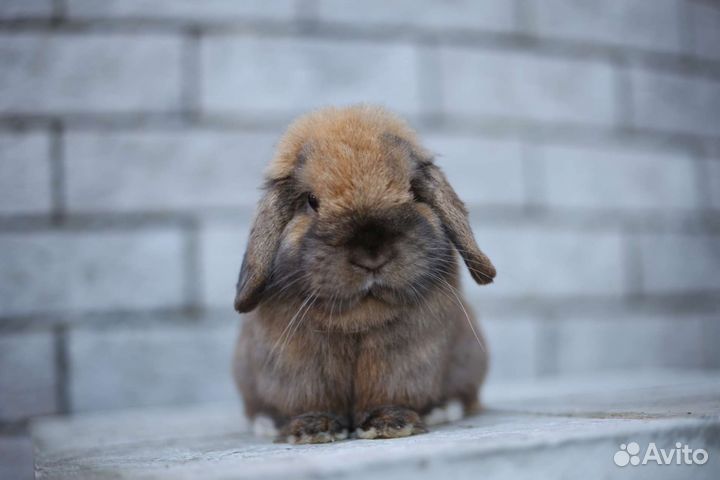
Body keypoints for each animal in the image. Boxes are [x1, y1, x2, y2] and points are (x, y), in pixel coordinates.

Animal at [233, 104, 496, 444]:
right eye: (311, 201)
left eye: (413, 190)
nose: (372, 254)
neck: (360, 315)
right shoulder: (297, 369)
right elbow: (308, 402)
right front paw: (311, 430)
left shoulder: (404, 361)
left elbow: (391, 394)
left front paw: (391, 425)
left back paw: (442, 410)